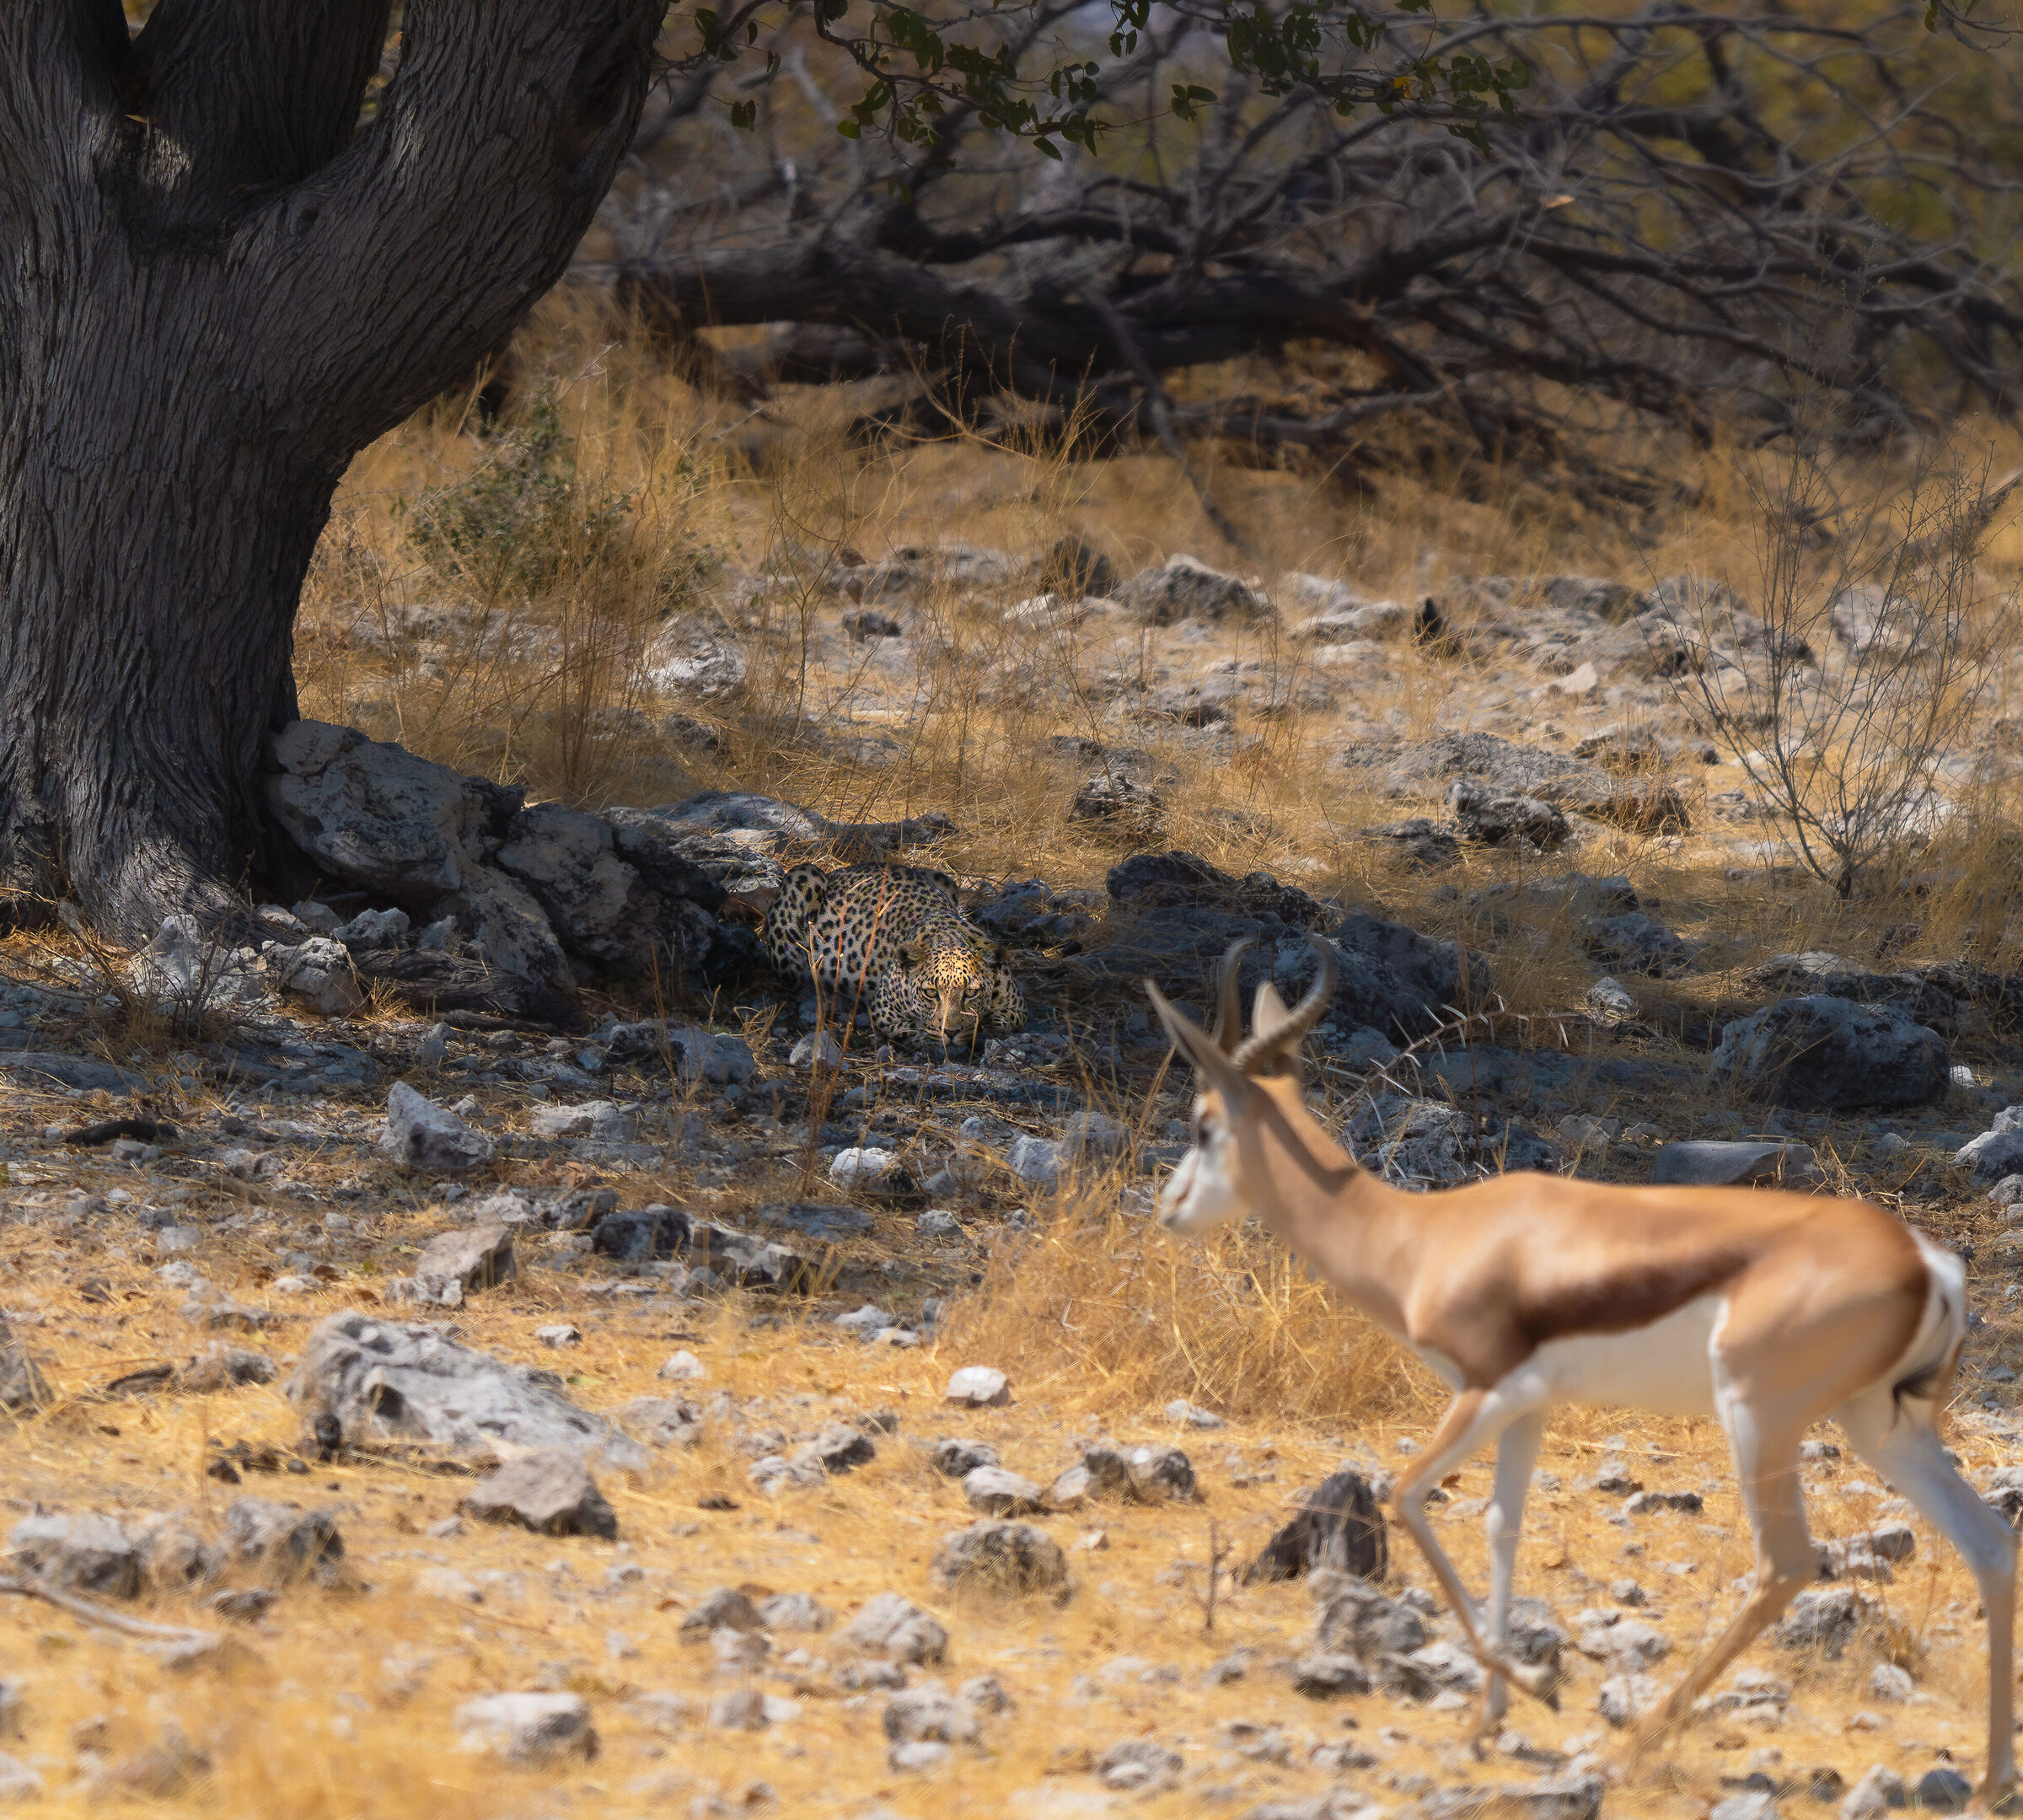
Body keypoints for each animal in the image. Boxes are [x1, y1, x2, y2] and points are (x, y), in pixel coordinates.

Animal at [761, 863, 1025, 1041]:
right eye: (931, 993)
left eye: (970, 993)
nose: (951, 1032)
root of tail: (837, 872)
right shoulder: (885, 1011)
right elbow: (916, 1027)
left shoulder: (1018, 1008)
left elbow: (1008, 1019)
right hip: (803, 878)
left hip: (943, 878)